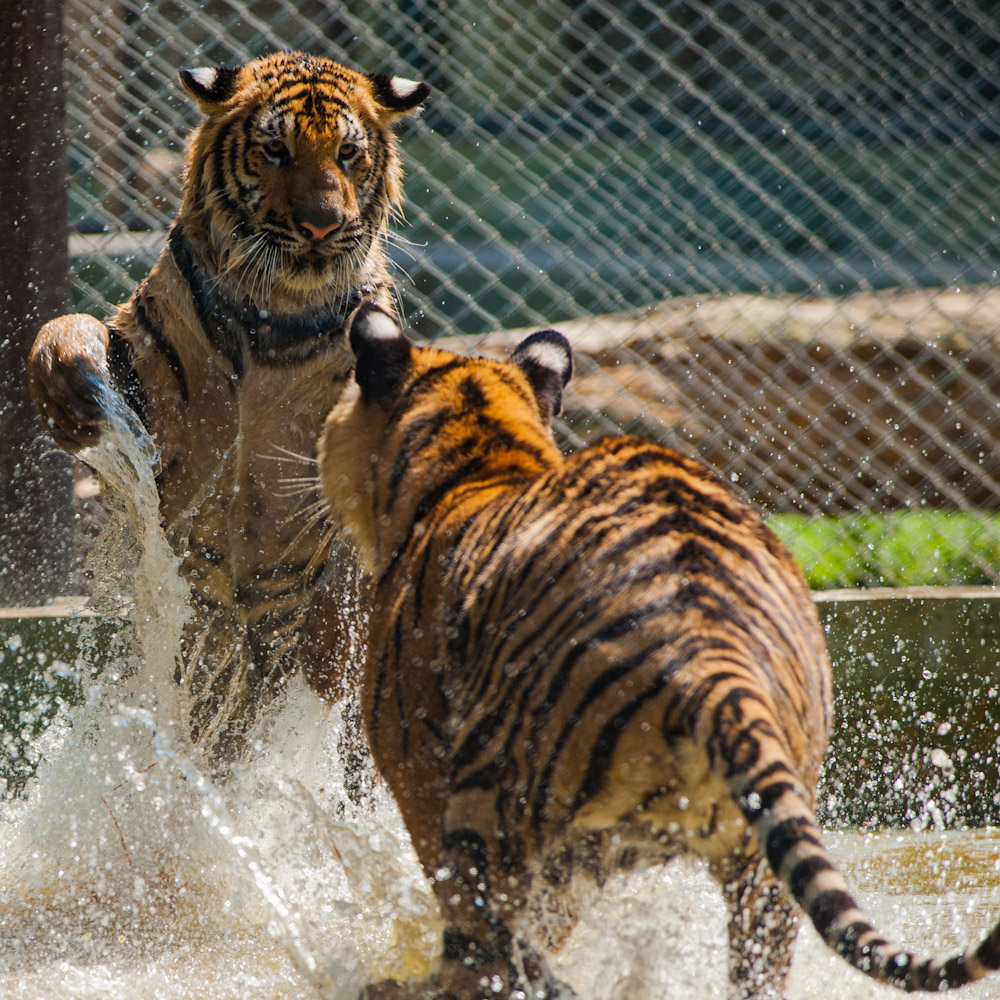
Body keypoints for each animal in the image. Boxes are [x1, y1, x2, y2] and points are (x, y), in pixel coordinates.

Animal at [27, 50, 426, 760]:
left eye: (348, 153)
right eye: (275, 150)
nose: (322, 224)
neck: (276, 315)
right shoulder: (148, 377)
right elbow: (67, 328)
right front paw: (68, 392)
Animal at [312, 302, 1000, 1000]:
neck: (483, 458)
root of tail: (712, 656)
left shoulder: (417, 770)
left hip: (494, 795)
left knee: (484, 949)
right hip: (762, 859)